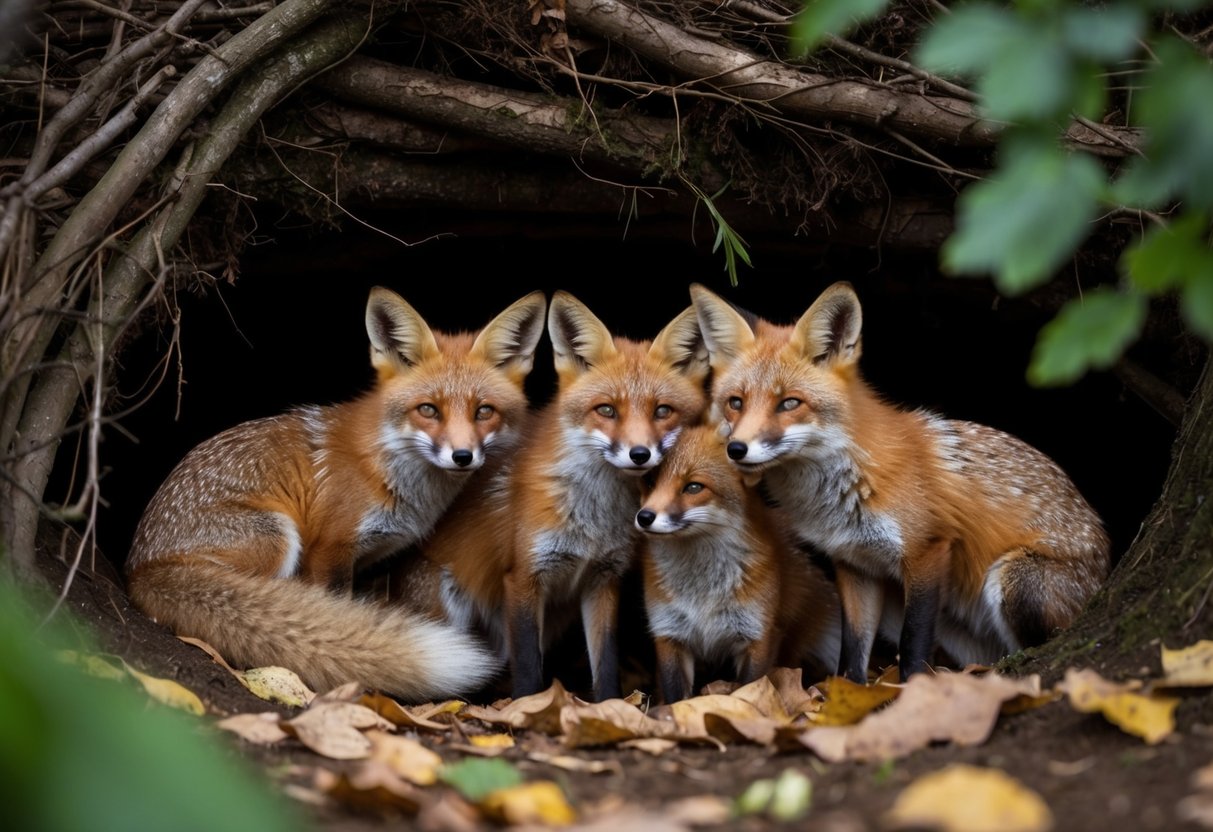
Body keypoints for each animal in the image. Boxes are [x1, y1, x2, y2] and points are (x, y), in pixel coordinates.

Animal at [124, 286, 548, 702]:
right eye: (428, 410)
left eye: (484, 411)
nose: (463, 456)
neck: (388, 467)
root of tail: (139, 568)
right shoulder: (329, 548)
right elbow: (332, 610)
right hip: (277, 538)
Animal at [402, 291, 710, 702]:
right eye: (606, 410)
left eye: (663, 411)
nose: (639, 454)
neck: (593, 516)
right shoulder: (524, 577)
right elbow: (529, 667)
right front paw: (527, 706)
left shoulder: (603, 579)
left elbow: (605, 662)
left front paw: (610, 706)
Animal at [635, 424, 841, 704]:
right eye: (650, 481)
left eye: (693, 487)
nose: (645, 517)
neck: (703, 591)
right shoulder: (669, 633)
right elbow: (675, 696)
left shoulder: (757, 635)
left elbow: (749, 689)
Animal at [688, 281, 1111, 683]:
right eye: (736, 402)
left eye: (789, 403)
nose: (737, 449)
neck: (846, 487)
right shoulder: (854, 563)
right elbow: (853, 647)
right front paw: (848, 694)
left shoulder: (928, 551)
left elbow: (913, 643)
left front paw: (913, 690)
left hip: (1013, 578)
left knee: (1038, 644)